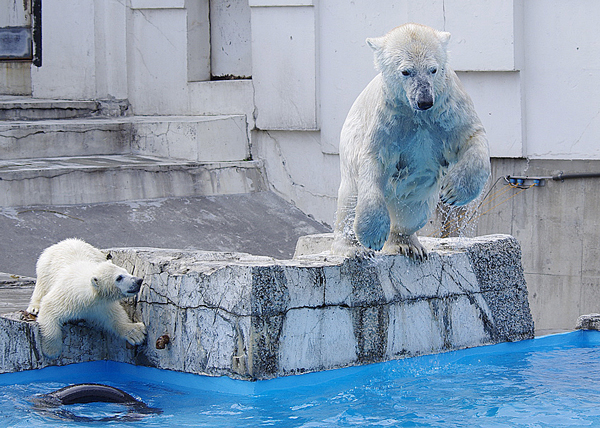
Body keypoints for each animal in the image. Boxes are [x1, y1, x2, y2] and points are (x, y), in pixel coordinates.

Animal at [330, 24, 490, 260]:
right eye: (406, 71)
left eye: (433, 69)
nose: (424, 100)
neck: (417, 114)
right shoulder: (389, 118)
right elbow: (374, 159)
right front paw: (371, 236)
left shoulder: (448, 107)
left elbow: (472, 137)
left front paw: (452, 192)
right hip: (350, 146)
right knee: (350, 197)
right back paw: (353, 247)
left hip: (417, 191)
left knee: (413, 207)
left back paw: (407, 245)